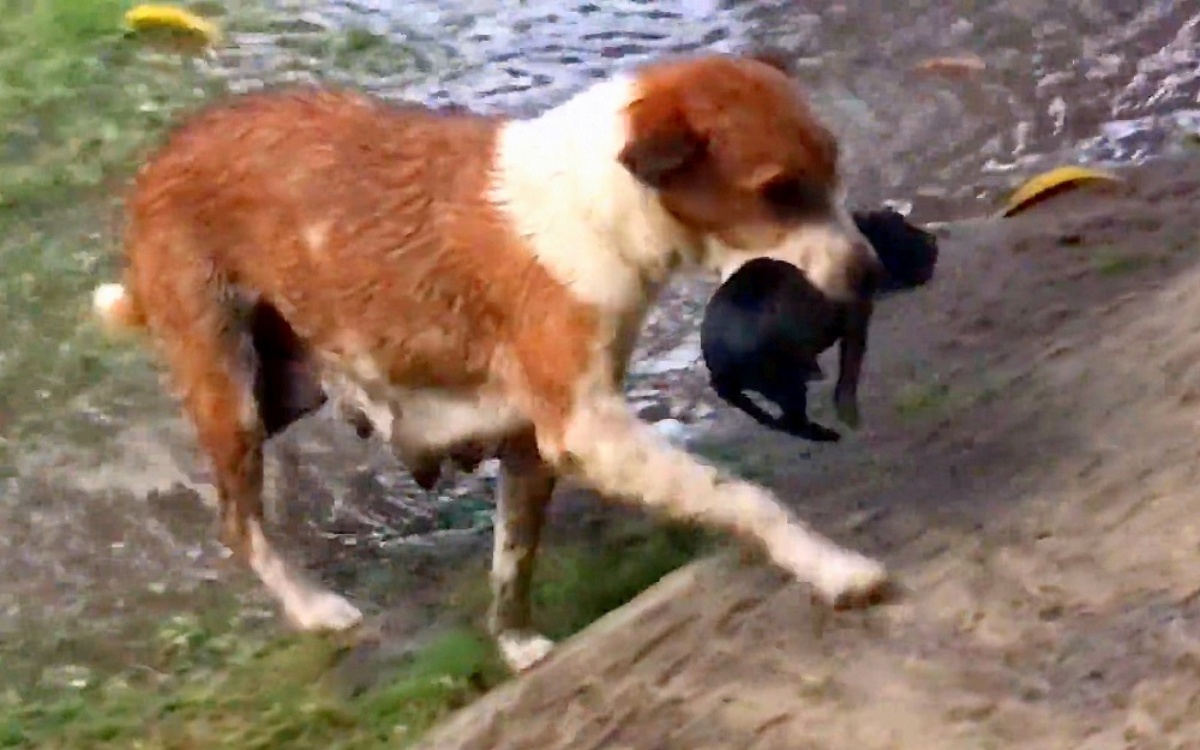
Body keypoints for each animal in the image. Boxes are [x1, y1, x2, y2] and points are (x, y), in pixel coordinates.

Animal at [91, 52, 892, 672]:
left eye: (835, 168)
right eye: (778, 192)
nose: (872, 271)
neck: (602, 204)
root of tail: (154, 165)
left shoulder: (530, 443)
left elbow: (513, 562)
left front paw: (517, 647)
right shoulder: (586, 430)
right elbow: (743, 496)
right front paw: (834, 568)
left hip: (289, 382)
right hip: (231, 391)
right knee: (237, 519)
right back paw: (314, 607)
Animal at [700, 207, 936, 441]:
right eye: (898, 228)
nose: (932, 239)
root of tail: (717, 368)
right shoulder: (855, 324)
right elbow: (849, 372)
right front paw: (849, 414)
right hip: (787, 386)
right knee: (793, 423)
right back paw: (829, 434)